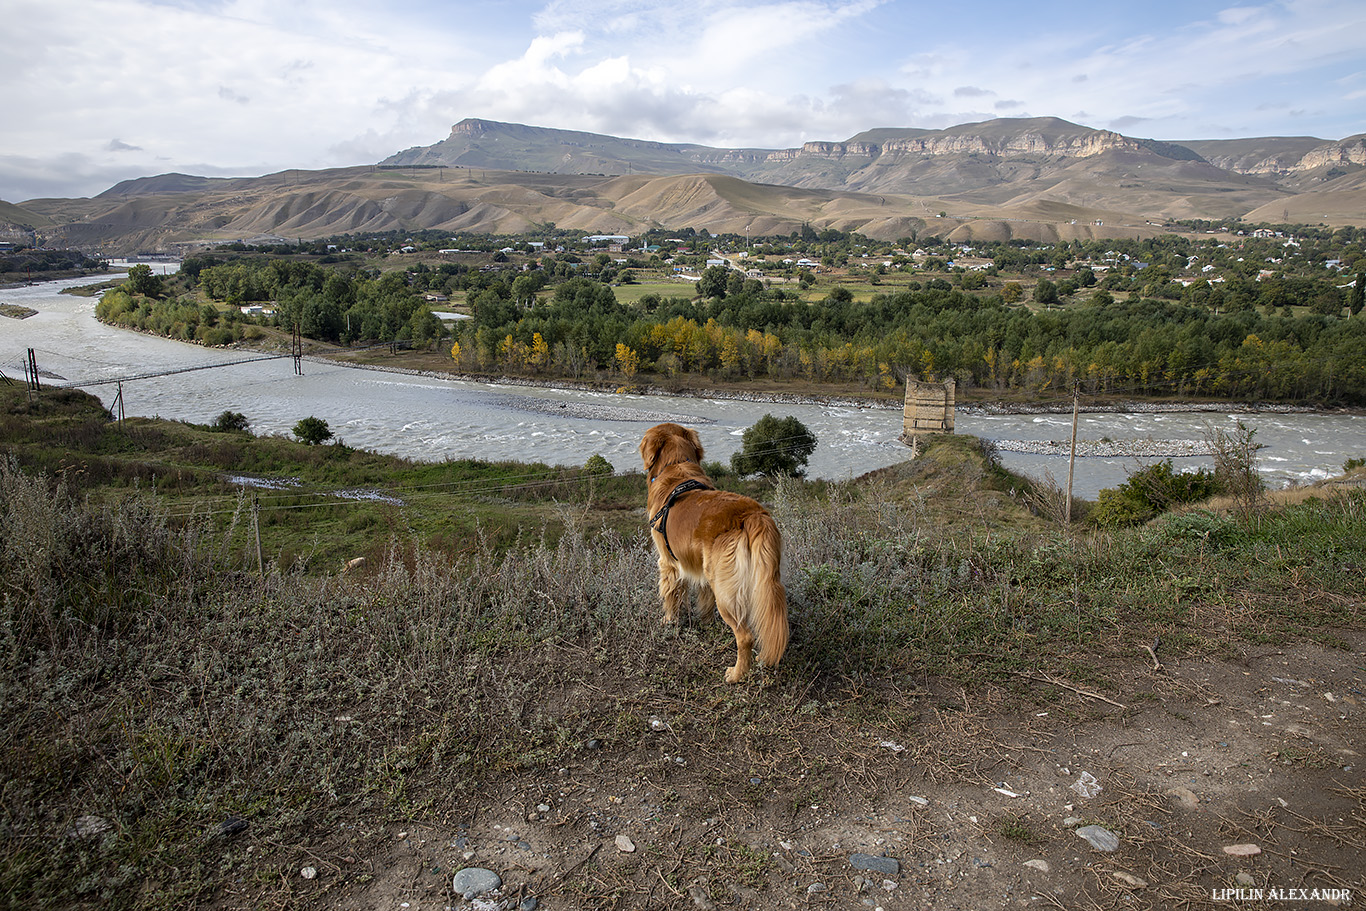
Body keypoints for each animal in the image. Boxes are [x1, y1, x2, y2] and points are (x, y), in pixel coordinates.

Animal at [639, 423, 792, 680]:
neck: (675, 465)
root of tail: (752, 514)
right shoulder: (700, 566)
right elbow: (704, 599)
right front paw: (706, 621)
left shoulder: (668, 562)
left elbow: (671, 596)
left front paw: (669, 620)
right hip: (759, 581)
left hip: (725, 590)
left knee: (745, 636)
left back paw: (737, 674)